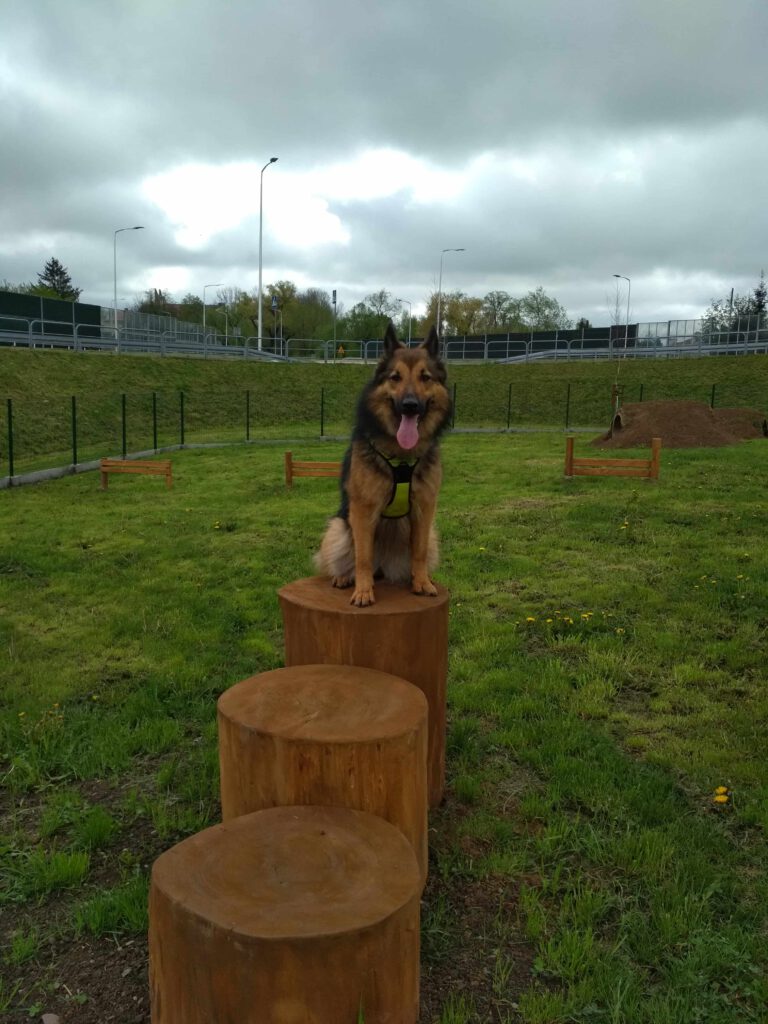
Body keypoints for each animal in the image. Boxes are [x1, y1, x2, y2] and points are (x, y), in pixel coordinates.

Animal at [315, 323, 454, 602]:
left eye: (425, 377)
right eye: (395, 377)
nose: (410, 406)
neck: (402, 457)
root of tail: (383, 568)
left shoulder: (424, 510)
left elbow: (419, 552)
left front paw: (422, 582)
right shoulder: (362, 510)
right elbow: (363, 556)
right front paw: (363, 591)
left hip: (431, 536)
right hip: (338, 528)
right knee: (345, 559)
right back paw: (344, 577)